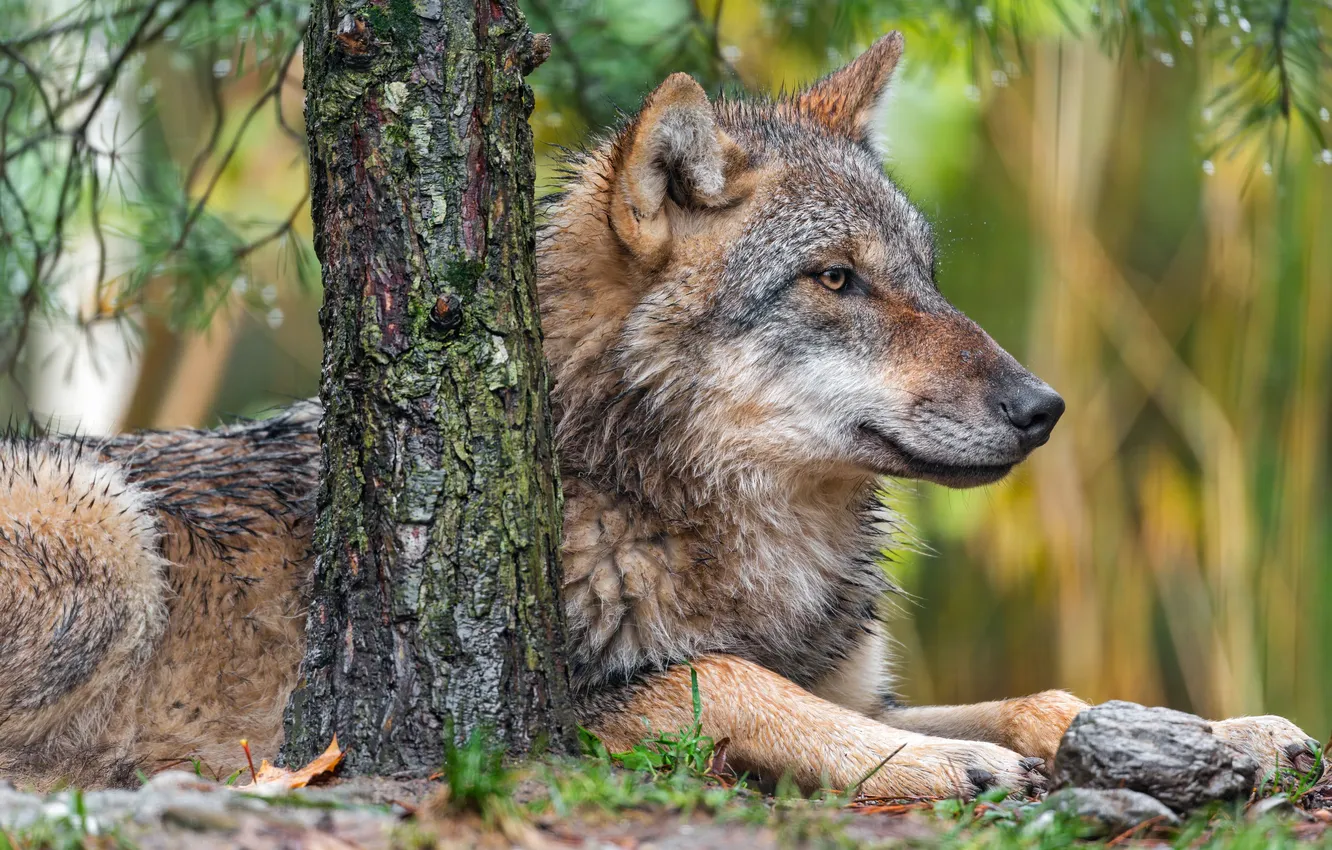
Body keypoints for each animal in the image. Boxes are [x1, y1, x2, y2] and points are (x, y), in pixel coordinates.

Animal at [0, 33, 1319, 795]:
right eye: (835, 279)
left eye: (925, 274)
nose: (1043, 407)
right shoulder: (567, 708)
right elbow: (732, 678)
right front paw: (949, 761)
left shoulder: (855, 682)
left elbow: (1047, 697)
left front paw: (1228, 733)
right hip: (101, 527)